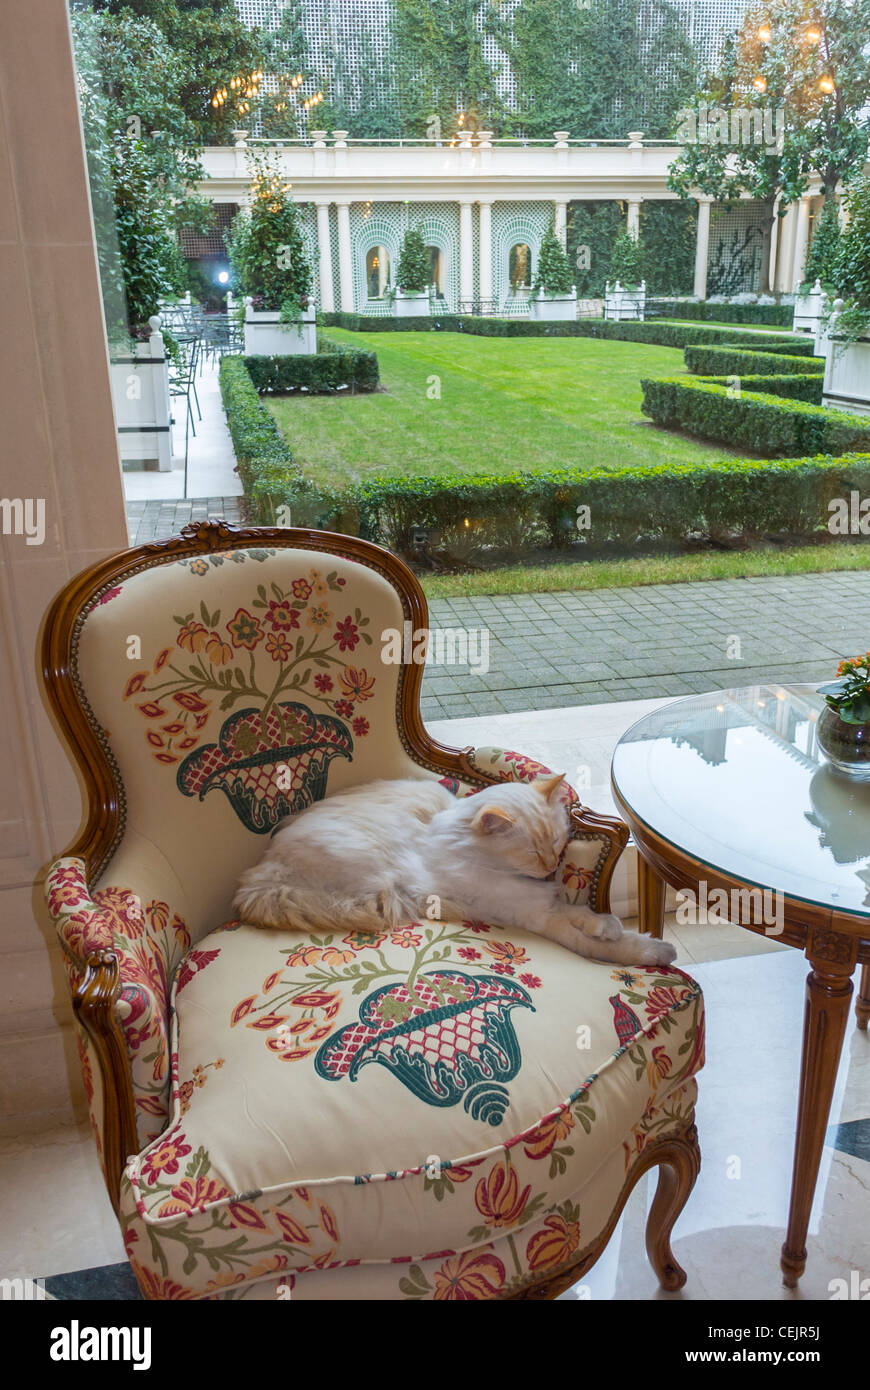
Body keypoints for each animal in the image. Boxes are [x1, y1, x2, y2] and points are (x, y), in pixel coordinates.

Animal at [233, 772, 675, 967]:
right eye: (533, 852)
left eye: (556, 844)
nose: (552, 868)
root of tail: (256, 878)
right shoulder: (535, 915)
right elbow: (597, 942)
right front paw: (654, 950)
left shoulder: (543, 901)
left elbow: (586, 916)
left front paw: (608, 925)